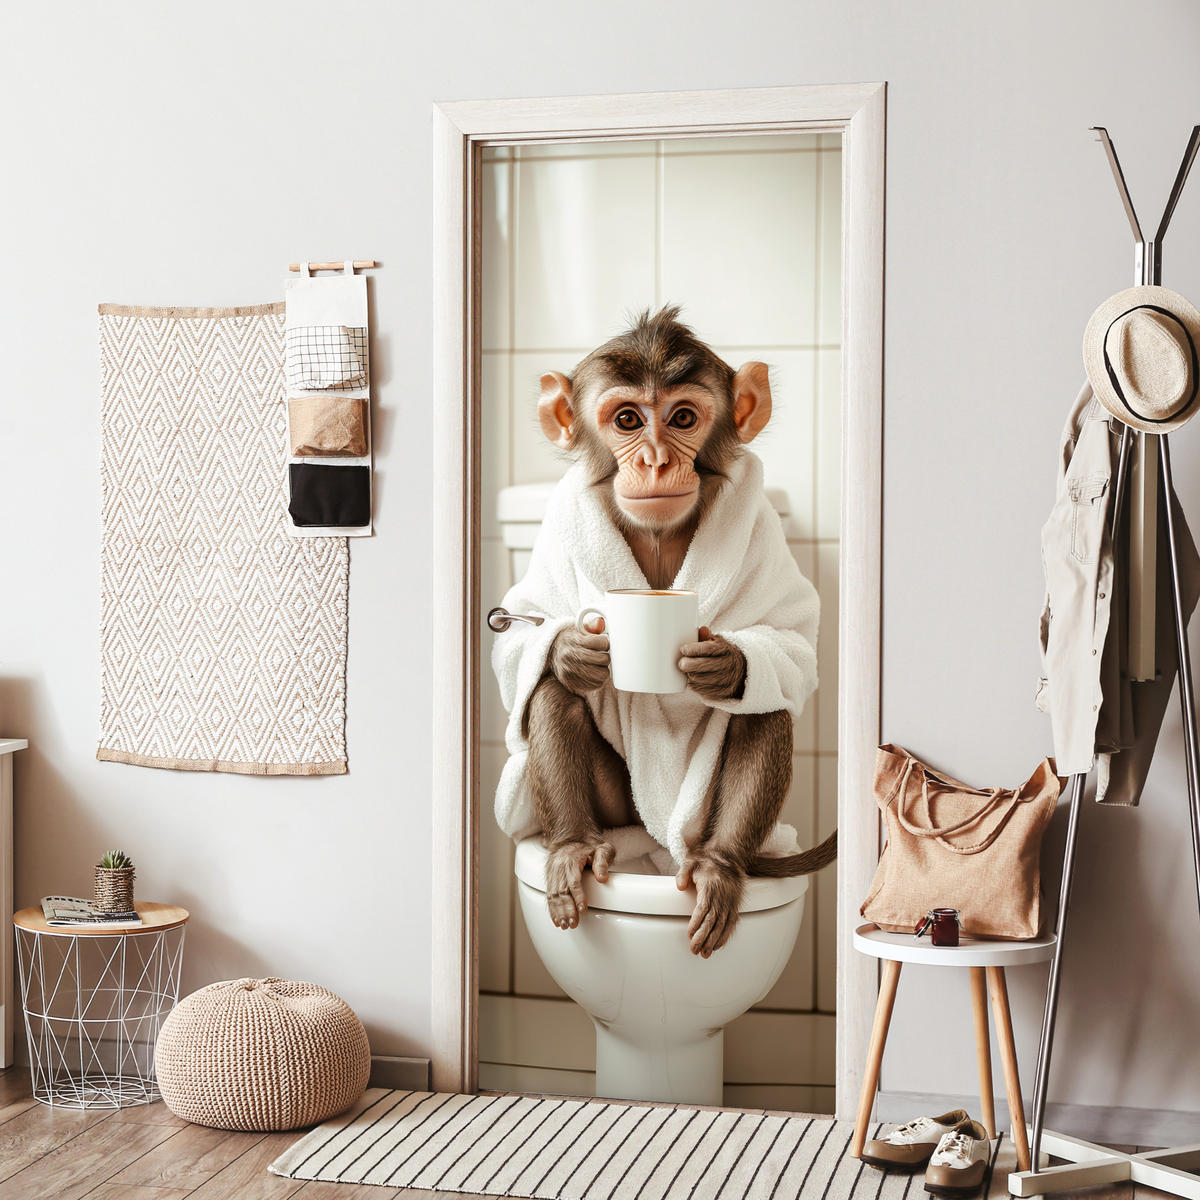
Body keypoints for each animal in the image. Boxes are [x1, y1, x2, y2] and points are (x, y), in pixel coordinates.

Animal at [496, 307, 836, 958]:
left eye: (682, 418)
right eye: (628, 419)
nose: (654, 459)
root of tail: (654, 842)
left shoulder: (763, 532)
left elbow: (793, 639)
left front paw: (725, 664)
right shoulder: (554, 533)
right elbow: (522, 629)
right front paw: (573, 650)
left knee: (768, 702)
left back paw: (720, 866)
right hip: (616, 811)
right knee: (550, 693)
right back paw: (573, 846)